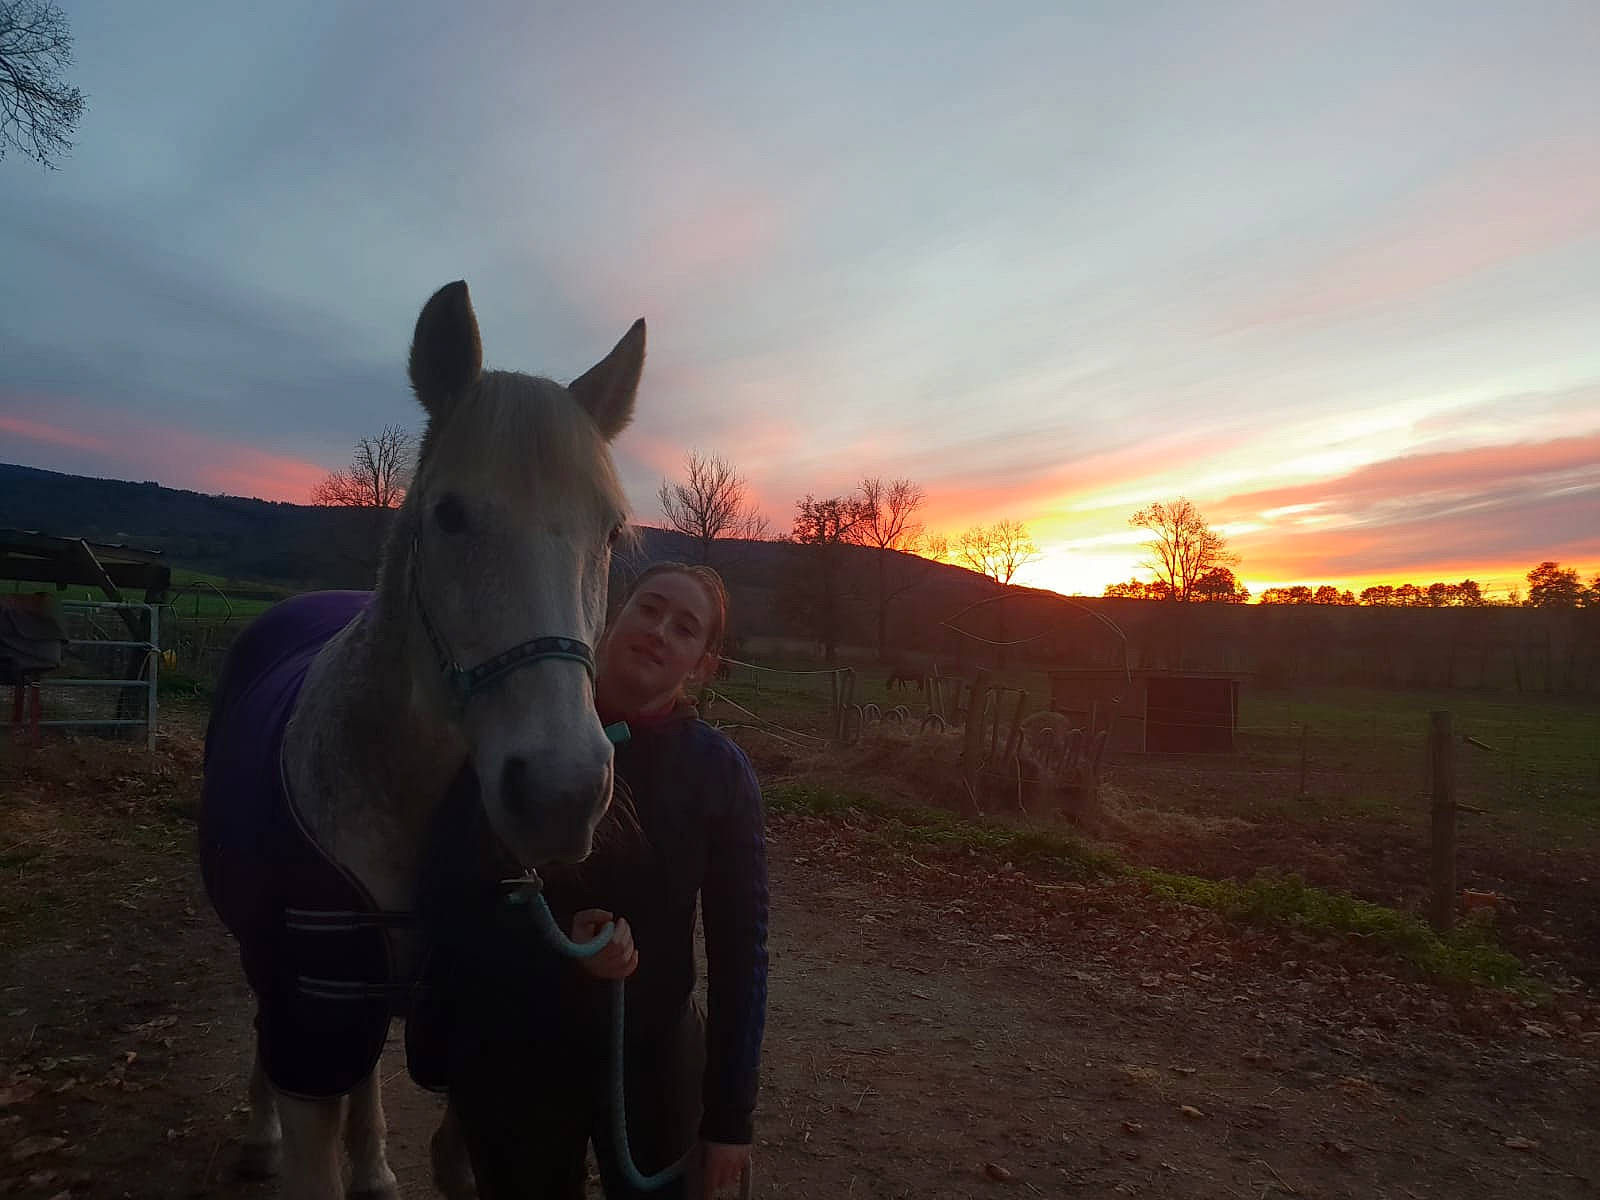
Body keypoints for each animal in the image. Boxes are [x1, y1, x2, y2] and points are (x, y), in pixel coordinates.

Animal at [199, 280, 644, 1200]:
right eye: (449, 515)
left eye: (612, 533)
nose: (561, 792)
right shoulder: (316, 1017)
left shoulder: (462, 1038)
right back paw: (260, 1134)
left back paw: (374, 1168)